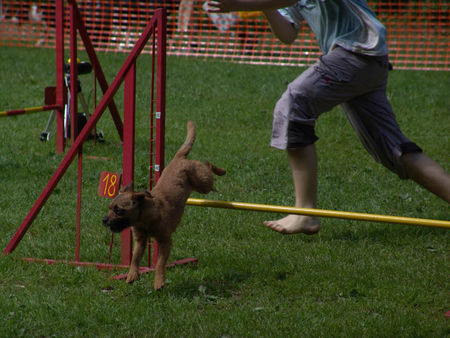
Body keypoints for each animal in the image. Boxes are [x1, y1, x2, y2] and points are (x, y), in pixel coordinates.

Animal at [101, 120, 224, 290]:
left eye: (118, 210)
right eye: (109, 208)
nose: (104, 220)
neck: (145, 216)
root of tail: (179, 158)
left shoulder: (165, 241)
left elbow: (159, 263)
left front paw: (159, 281)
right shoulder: (140, 241)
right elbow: (135, 258)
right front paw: (132, 274)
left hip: (203, 183)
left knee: (207, 165)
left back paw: (221, 170)